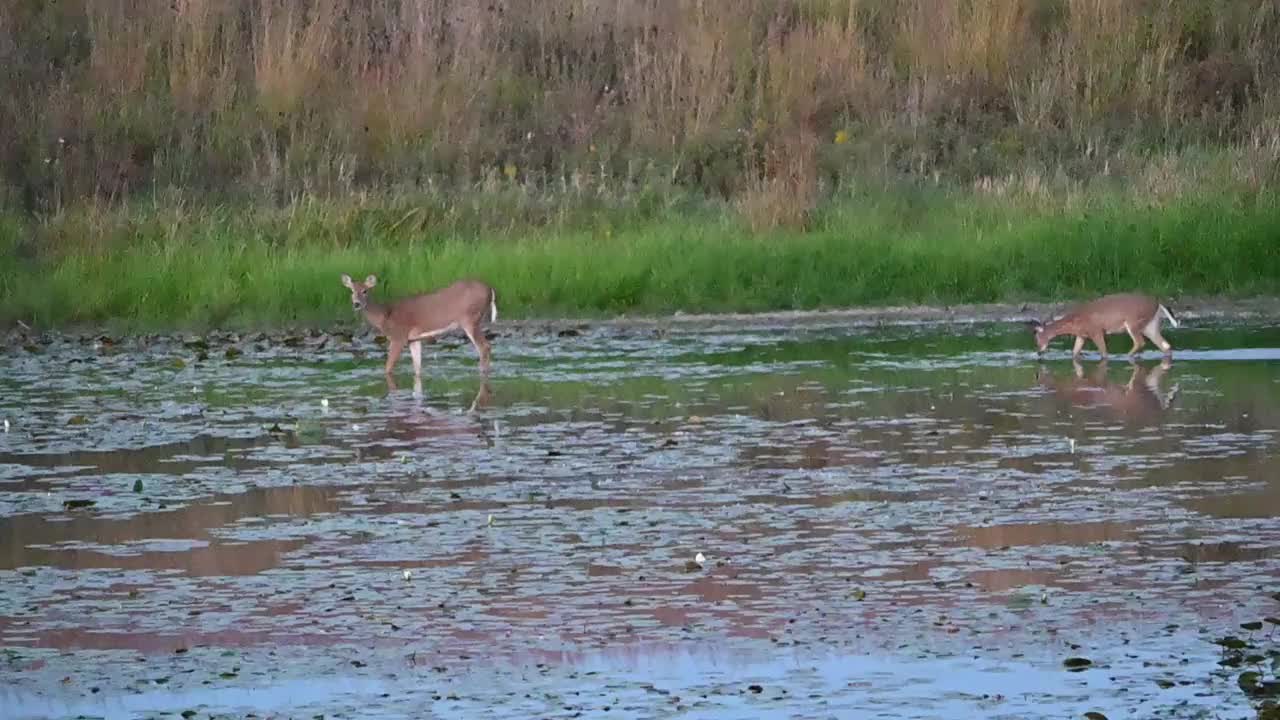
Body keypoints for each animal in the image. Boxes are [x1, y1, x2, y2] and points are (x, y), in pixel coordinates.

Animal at [340, 272, 494, 379]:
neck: (385, 315)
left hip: (470, 319)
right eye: (351, 291)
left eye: (365, 291)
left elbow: (388, 368)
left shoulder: (399, 337)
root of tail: (490, 289)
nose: (356, 304)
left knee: (484, 347)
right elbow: (417, 369)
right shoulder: (413, 340)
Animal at [1029, 292, 1177, 358]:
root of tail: (1158, 304)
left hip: (1133, 322)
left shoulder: (1096, 331)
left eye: (1036, 338)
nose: (1038, 352)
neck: (1075, 321)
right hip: (1150, 325)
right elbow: (1075, 352)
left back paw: (1125, 357)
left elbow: (1104, 353)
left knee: (1140, 342)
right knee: (1165, 345)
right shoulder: (1082, 335)